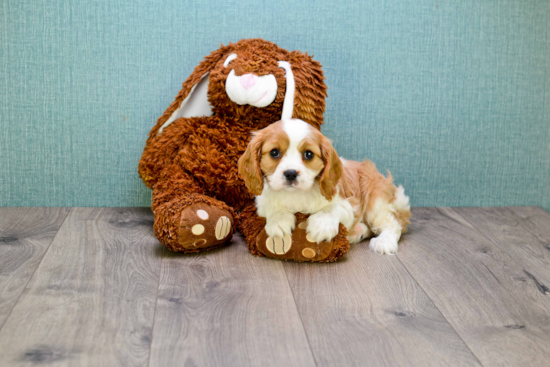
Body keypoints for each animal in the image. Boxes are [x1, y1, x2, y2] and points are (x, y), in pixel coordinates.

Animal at [239, 119, 412, 254]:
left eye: (308, 154)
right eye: (274, 152)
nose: (290, 173)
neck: (296, 195)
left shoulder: (348, 205)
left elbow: (331, 209)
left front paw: (321, 225)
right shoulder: (262, 202)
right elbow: (273, 209)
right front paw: (279, 222)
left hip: (375, 196)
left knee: (393, 224)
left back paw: (384, 242)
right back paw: (357, 232)